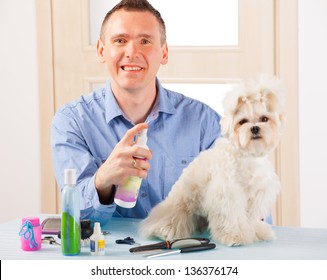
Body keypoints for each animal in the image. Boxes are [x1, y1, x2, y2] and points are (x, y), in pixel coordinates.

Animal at [141, 74, 288, 245]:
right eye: (243, 121)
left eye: (264, 119)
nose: (255, 128)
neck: (247, 156)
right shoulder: (227, 194)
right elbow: (232, 217)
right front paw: (234, 236)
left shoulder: (257, 194)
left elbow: (251, 218)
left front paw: (258, 232)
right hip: (181, 206)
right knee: (173, 219)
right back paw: (165, 231)